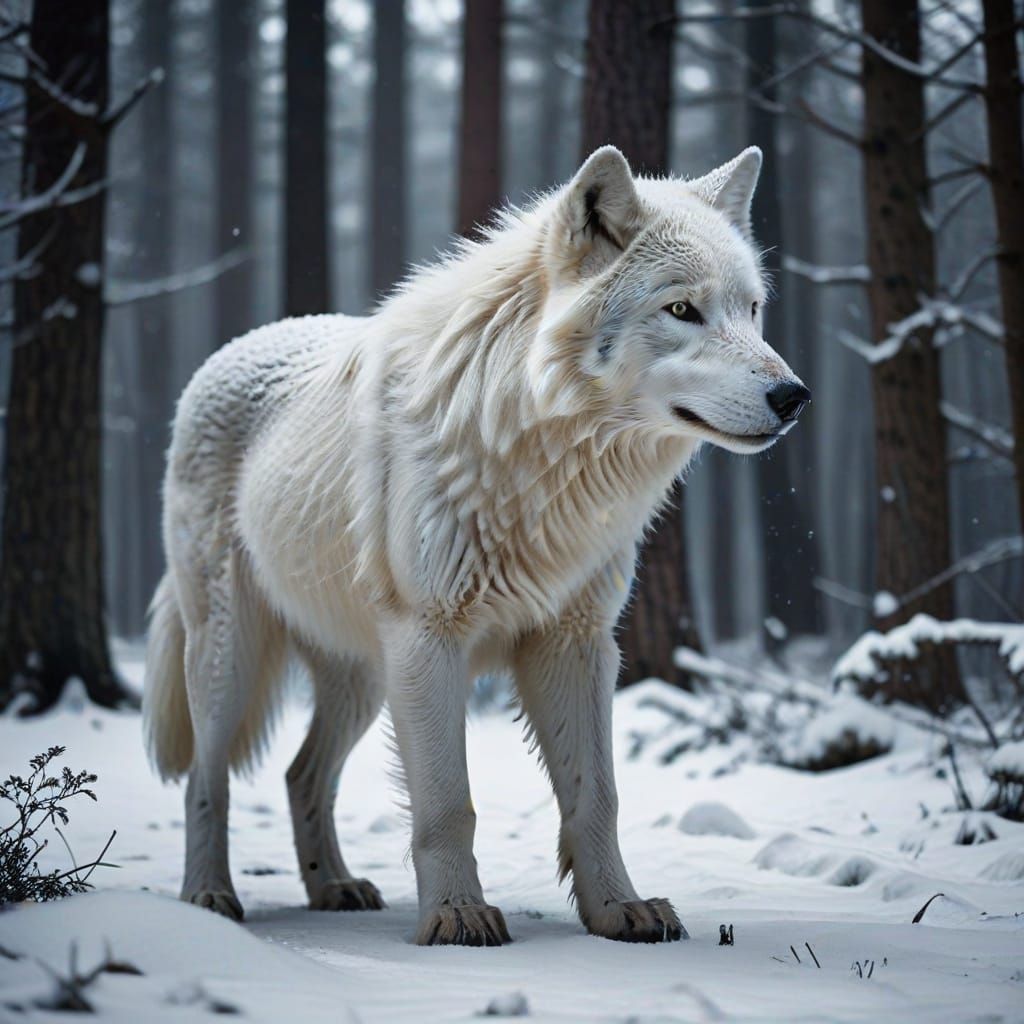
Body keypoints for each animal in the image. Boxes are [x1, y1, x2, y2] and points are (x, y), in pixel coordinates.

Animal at [144, 144, 808, 946]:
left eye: (753, 310)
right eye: (682, 309)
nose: (795, 396)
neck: (538, 452)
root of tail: (231, 350)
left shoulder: (577, 642)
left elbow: (597, 797)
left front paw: (619, 910)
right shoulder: (429, 638)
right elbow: (445, 804)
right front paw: (457, 915)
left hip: (364, 676)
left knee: (301, 774)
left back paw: (333, 885)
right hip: (231, 657)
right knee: (205, 781)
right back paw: (208, 897)